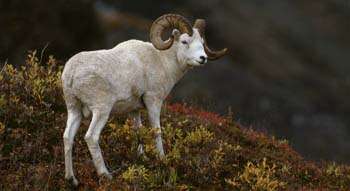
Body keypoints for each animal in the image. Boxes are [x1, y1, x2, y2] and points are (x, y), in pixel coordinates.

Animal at [61, 13, 228, 185]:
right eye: (184, 41)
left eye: (202, 42)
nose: (203, 58)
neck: (162, 61)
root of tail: (72, 74)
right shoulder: (153, 101)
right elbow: (157, 131)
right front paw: (162, 160)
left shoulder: (134, 110)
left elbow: (138, 132)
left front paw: (142, 158)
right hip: (101, 110)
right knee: (91, 137)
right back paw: (105, 175)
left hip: (74, 109)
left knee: (67, 137)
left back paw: (71, 179)